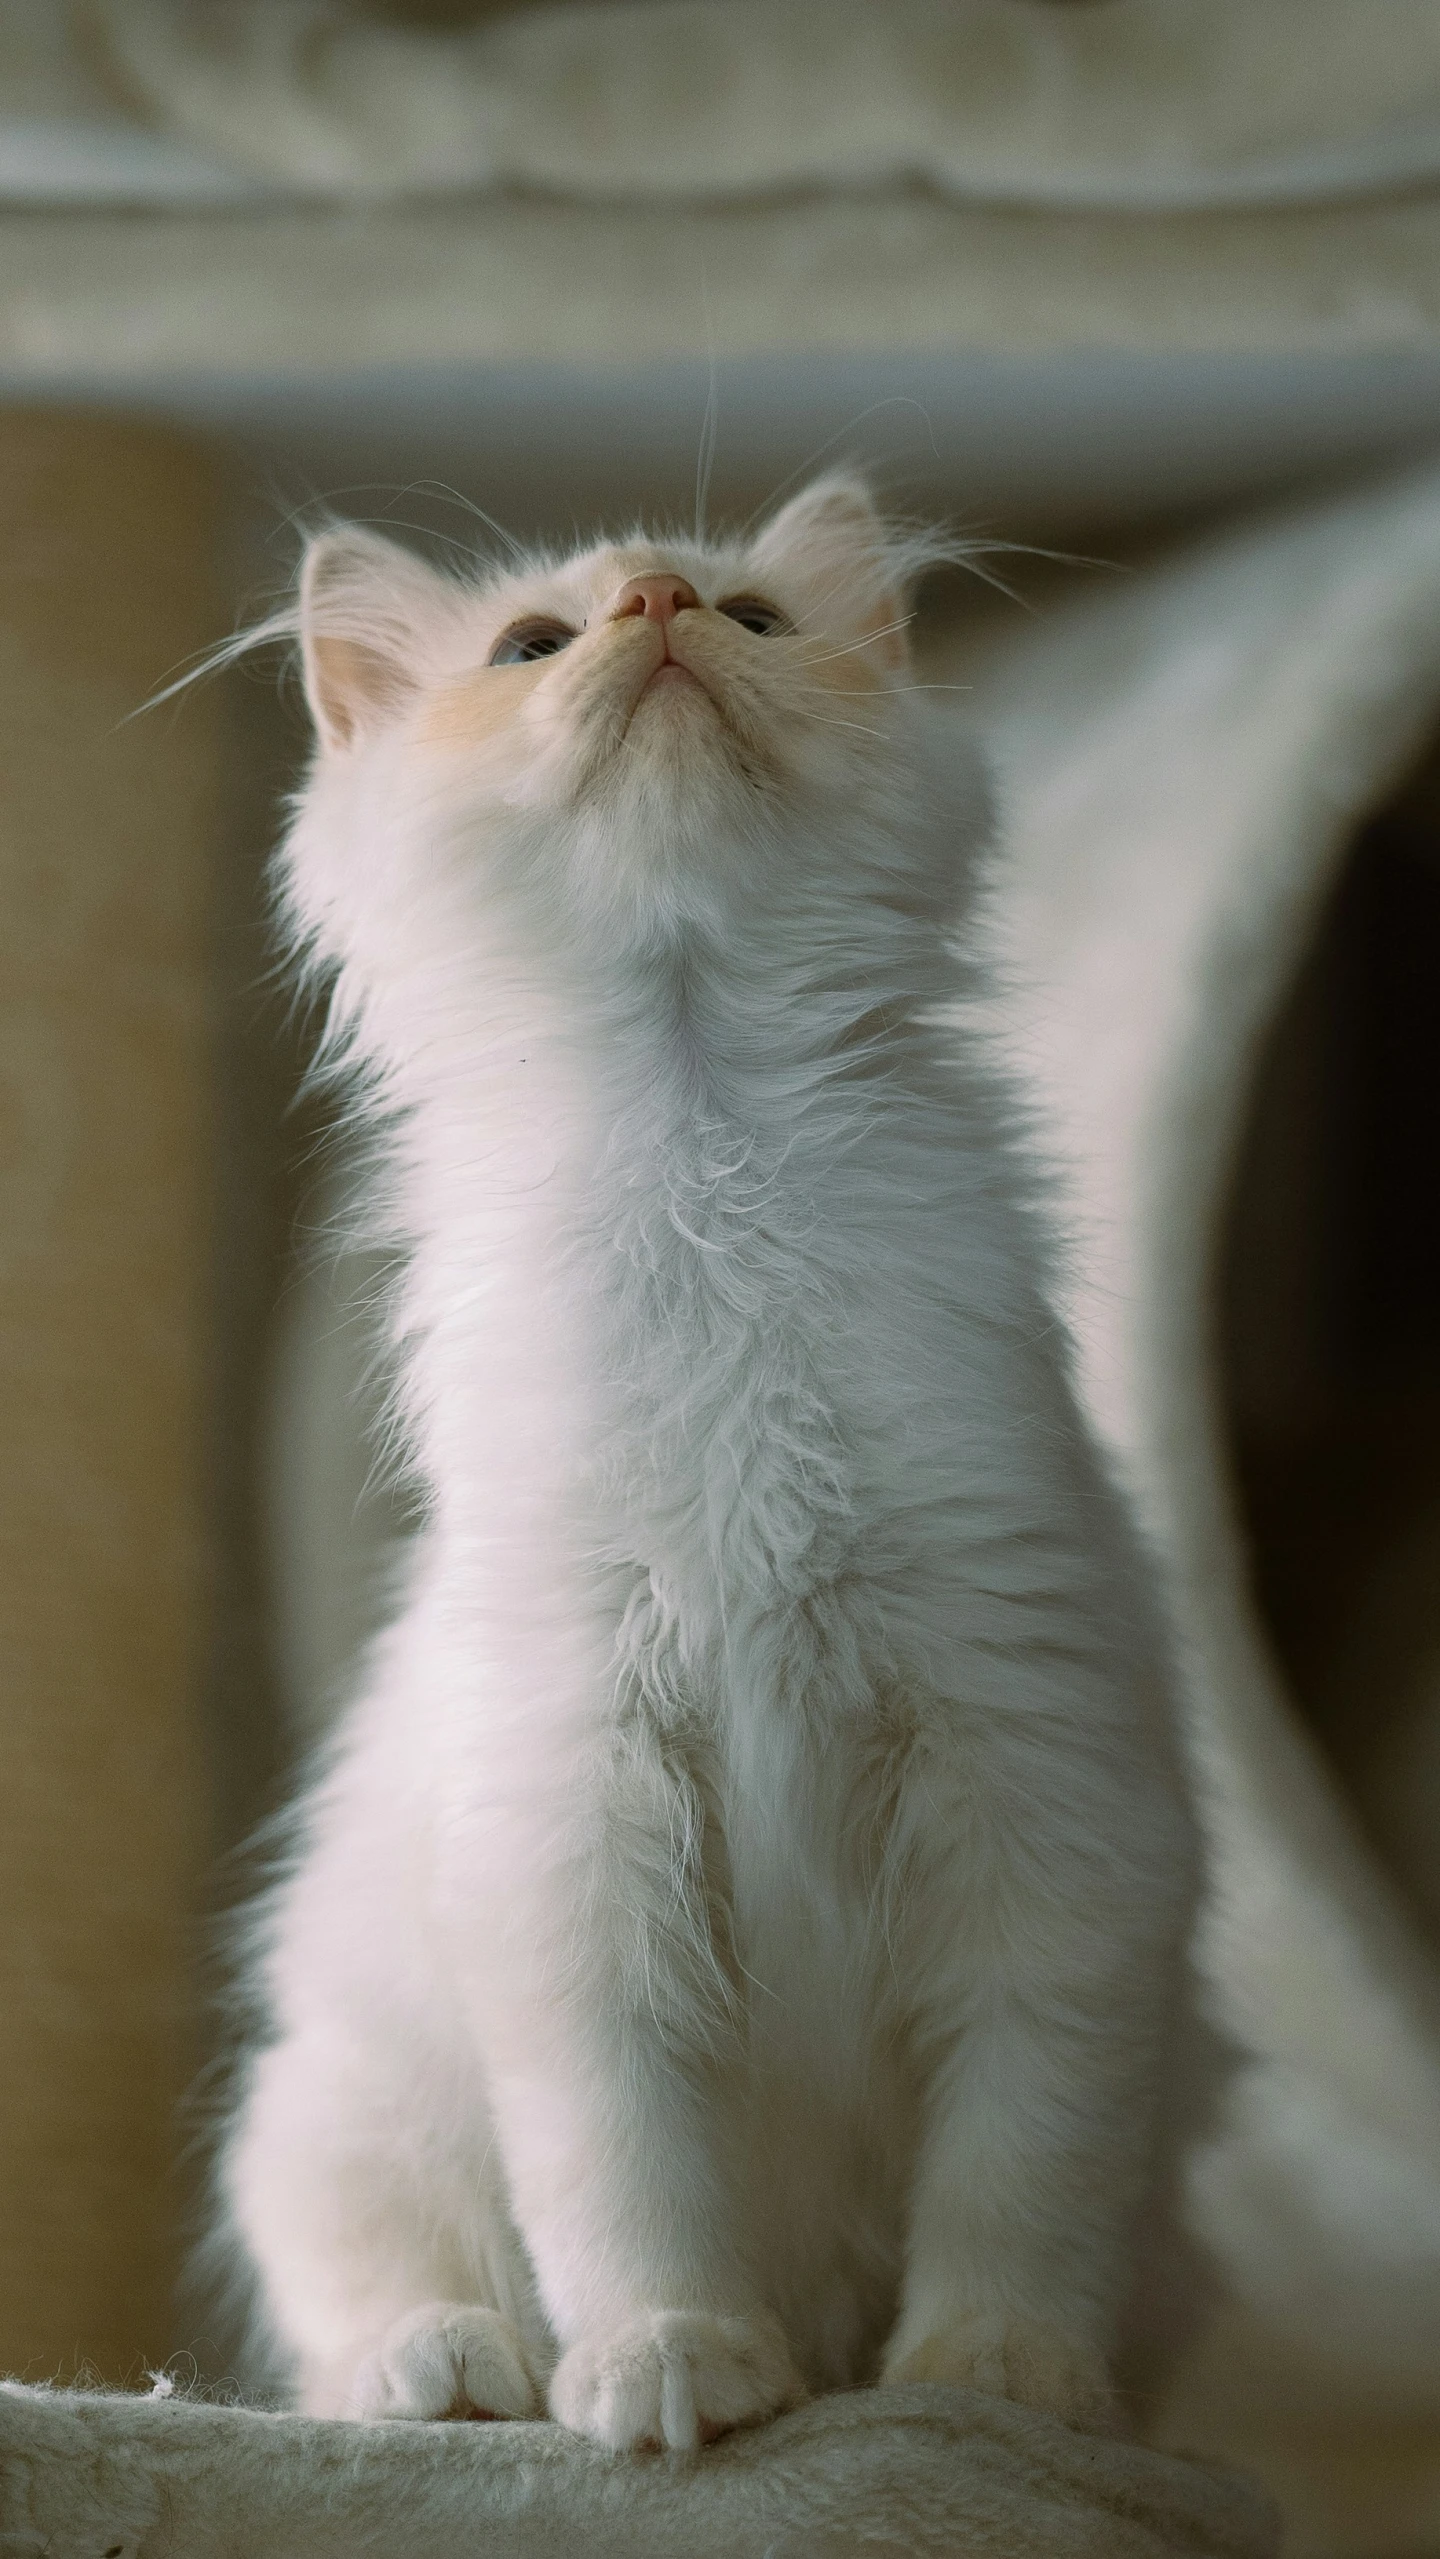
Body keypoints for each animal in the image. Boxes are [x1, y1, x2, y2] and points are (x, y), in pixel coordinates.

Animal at [222, 481, 1197, 2456]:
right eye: (529, 645)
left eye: (750, 619)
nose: (661, 606)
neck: (708, 1153)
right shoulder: (573, 1826)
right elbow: (624, 2175)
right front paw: (675, 2369)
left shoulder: (1046, 1795)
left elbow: (1022, 2171)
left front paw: (991, 2388)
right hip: (333, 2105)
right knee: (362, 2294)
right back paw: (456, 2375)